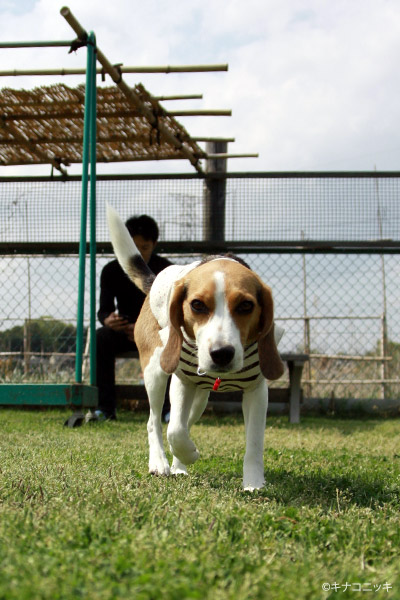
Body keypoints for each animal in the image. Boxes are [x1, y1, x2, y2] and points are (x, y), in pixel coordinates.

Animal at [106, 206, 284, 492]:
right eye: (197, 305)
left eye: (246, 305)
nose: (222, 354)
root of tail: (155, 280)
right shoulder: (182, 382)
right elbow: (175, 430)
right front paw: (189, 453)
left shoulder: (256, 390)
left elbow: (254, 443)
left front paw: (254, 483)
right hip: (156, 371)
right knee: (155, 422)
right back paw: (160, 463)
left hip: (200, 399)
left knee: (185, 421)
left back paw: (179, 466)